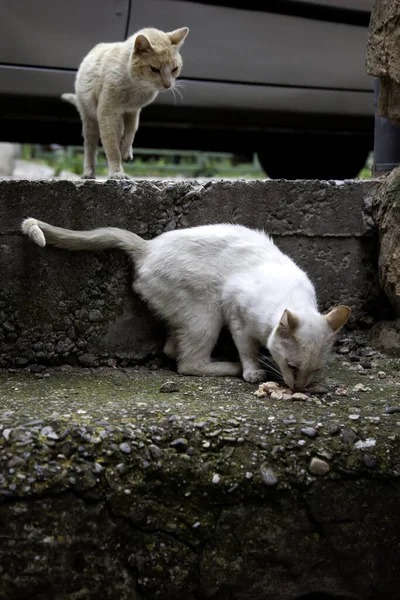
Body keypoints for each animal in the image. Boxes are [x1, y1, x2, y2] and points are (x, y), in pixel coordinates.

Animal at [21, 220, 350, 390]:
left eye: (315, 369)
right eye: (292, 366)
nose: (298, 388)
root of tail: (148, 246)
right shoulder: (237, 317)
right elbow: (249, 351)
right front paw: (253, 371)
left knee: (172, 348)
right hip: (208, 311)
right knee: (187, 363)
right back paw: (230, 366)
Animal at [61, 27, 189, 179]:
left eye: (174, 69)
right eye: (154, 69)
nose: (168, 85)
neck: (136, 86)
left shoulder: (133, 111)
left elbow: (131, 131)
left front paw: (125, 151)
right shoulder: (107, 113)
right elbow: (112, 147)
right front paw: (117, 172)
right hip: (90, 120)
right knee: (90, 147)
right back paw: (89, 173)